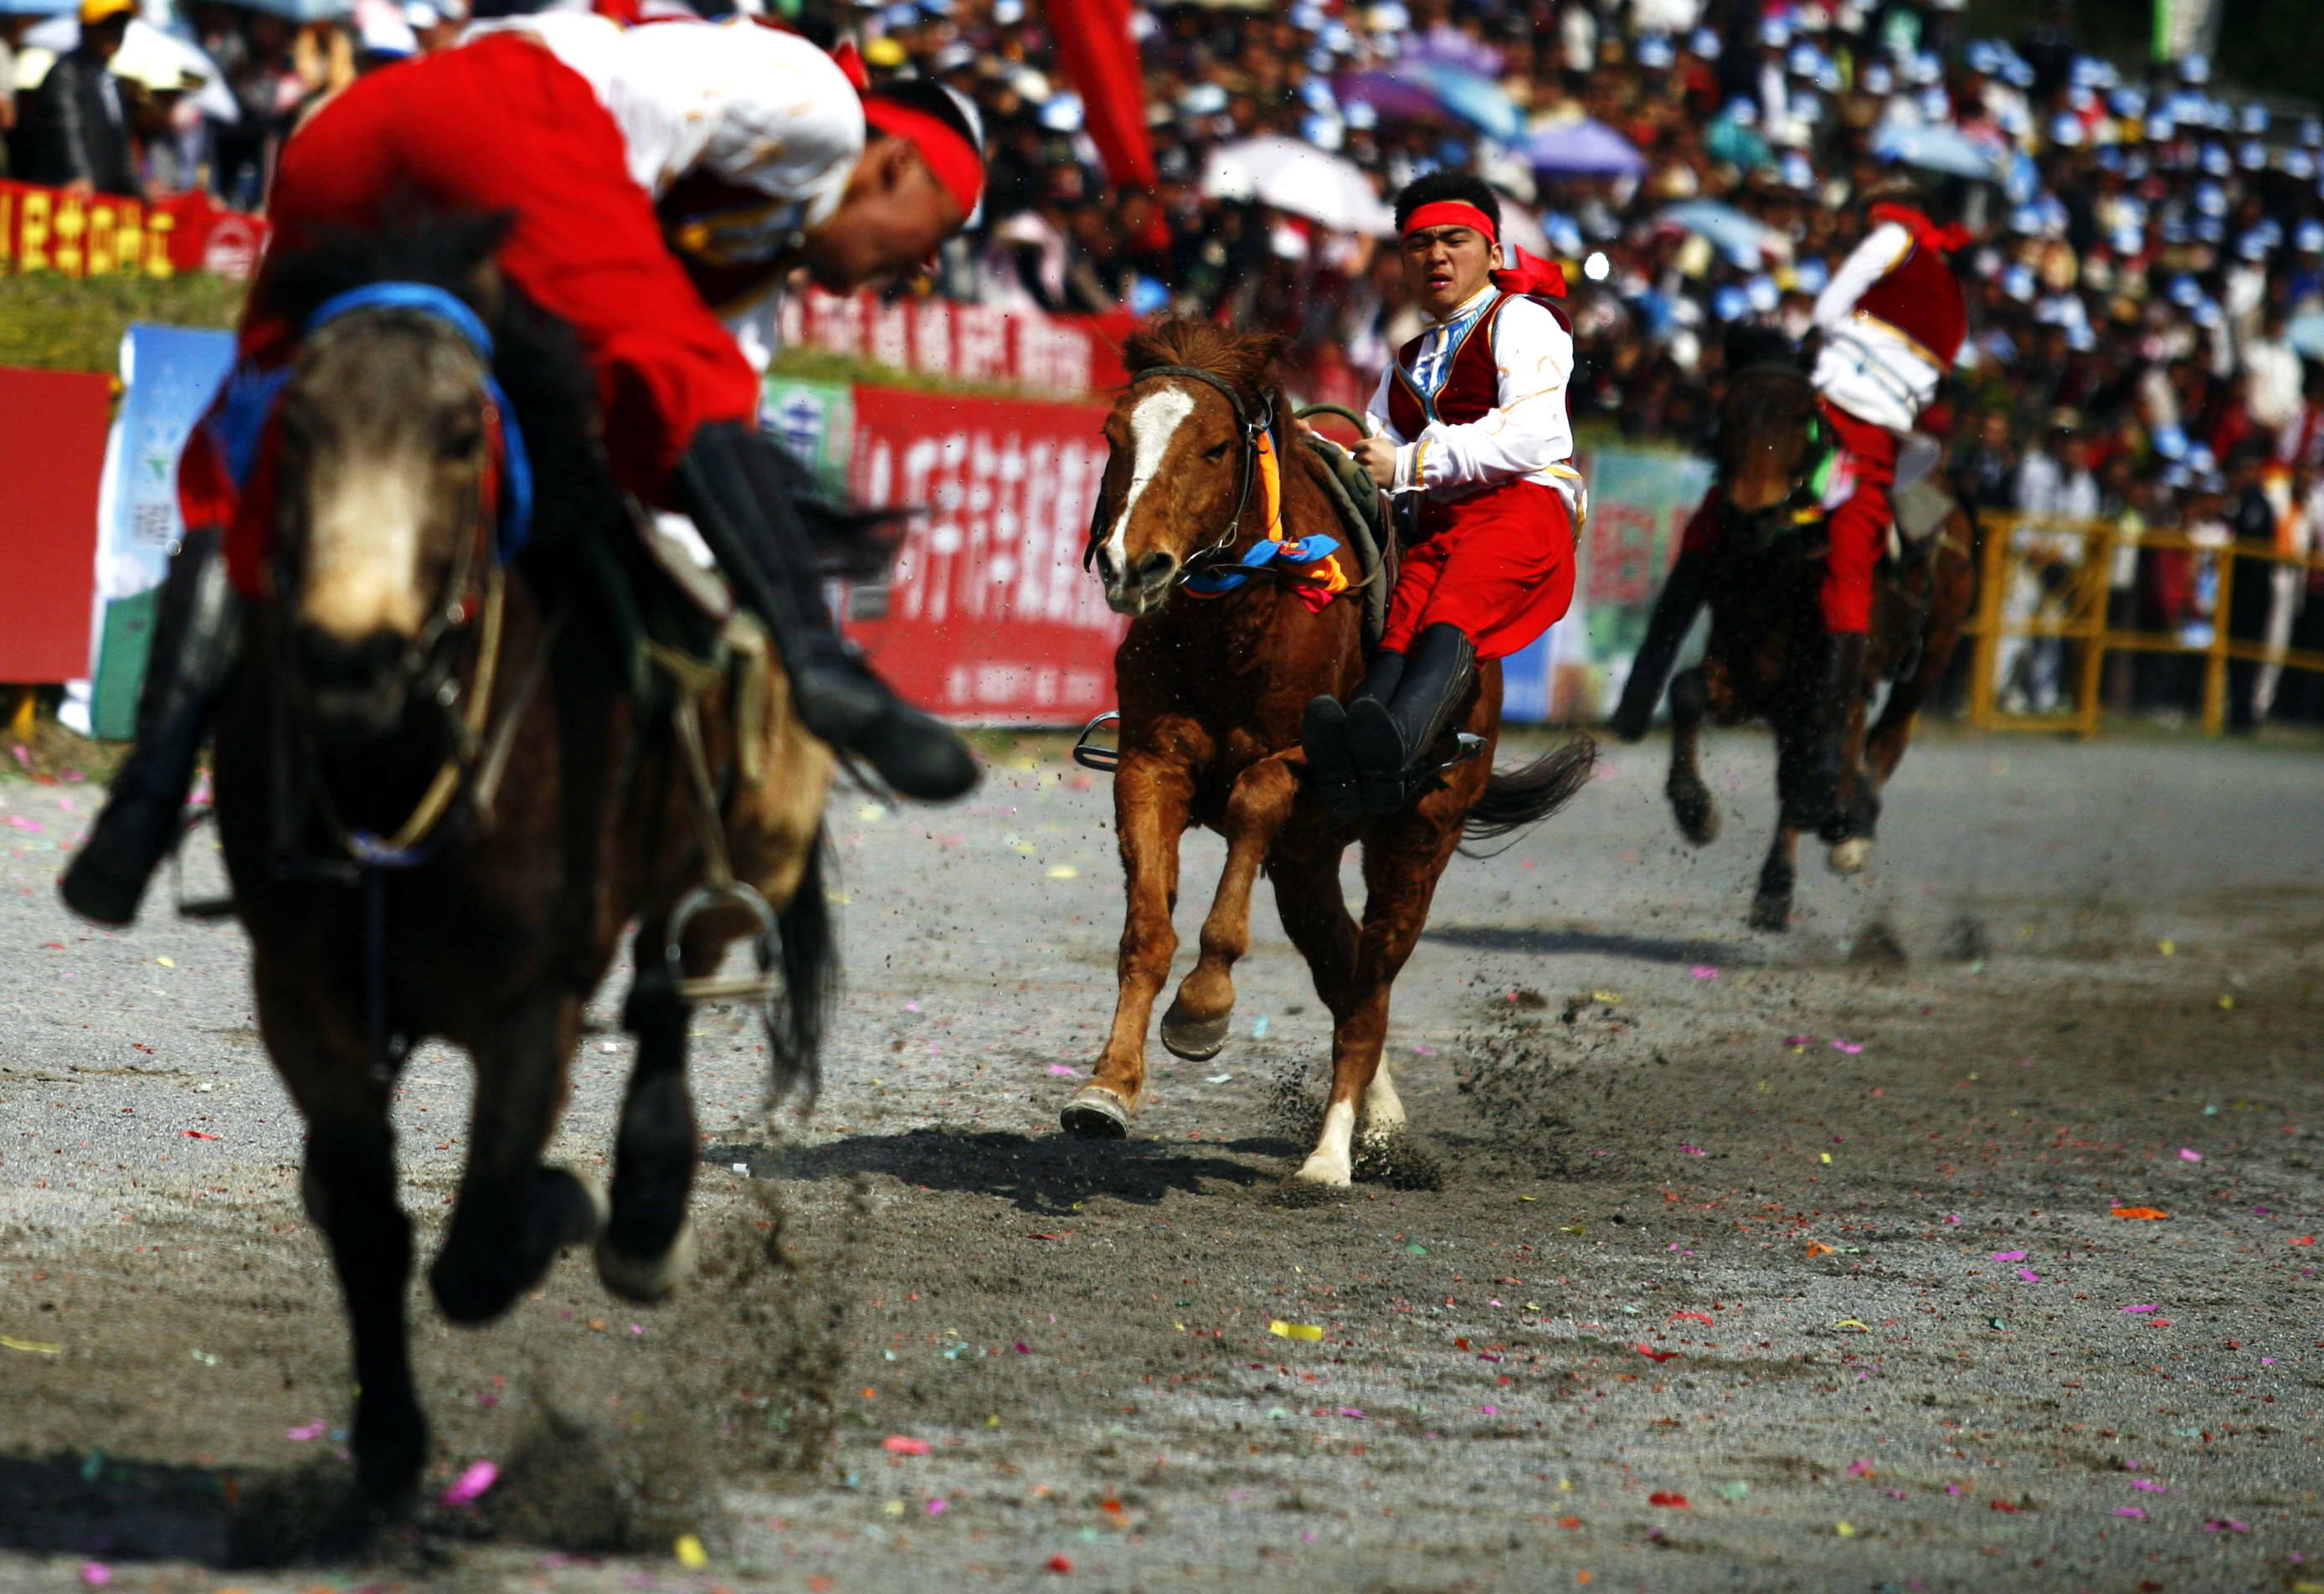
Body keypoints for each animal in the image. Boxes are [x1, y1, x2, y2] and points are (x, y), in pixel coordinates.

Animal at [202, 214, 836, 1524]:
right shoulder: (303, 998)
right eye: (295, 425)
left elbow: (484, 1239)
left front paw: (565, 1201)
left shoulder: (529, 1004)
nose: (350, 655)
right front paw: (387, 1445)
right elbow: (370, 1221)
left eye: (461, 434)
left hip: (741, 842)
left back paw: (640, 1217)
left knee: (671, 984)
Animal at [1059, 318, 1589, 1185]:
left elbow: (1251, 809)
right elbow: (1147, 932)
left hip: (1416, 841)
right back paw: (1380, 1122)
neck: (1234, 626)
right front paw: (1105, 1089)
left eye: (1215, 448)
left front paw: (1203, 1009)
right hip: (1307, 862)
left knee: (1369, 990)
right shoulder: (1150, 765)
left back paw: (1333, 1155)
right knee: (1343, 972)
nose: (1132, 565)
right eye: (1113, 436)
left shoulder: (1298, 772)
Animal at [1663, 362, 1971, 938]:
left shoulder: (1825, 678)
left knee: (1888, 733)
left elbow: (1810, 769)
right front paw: (1695, 810)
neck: (1778, 568)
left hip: (1934, 648)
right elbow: (1688, 689)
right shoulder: (1748, 672)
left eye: (1802, 424)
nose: (1750, 516)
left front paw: (1783, 878)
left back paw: (1848, 829)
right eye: (1726, 416)